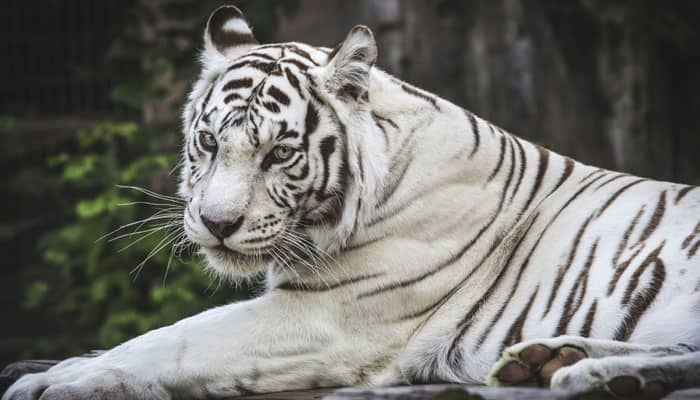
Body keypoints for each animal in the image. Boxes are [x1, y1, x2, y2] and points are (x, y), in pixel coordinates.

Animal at [5, 6, 700, 400]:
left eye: (280, 153)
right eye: (207, 142)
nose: (217, 224)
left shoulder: (326, 317)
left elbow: (171, 340)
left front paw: (56, 382)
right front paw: (68, 364)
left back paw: (591, 374)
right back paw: (557, 361)